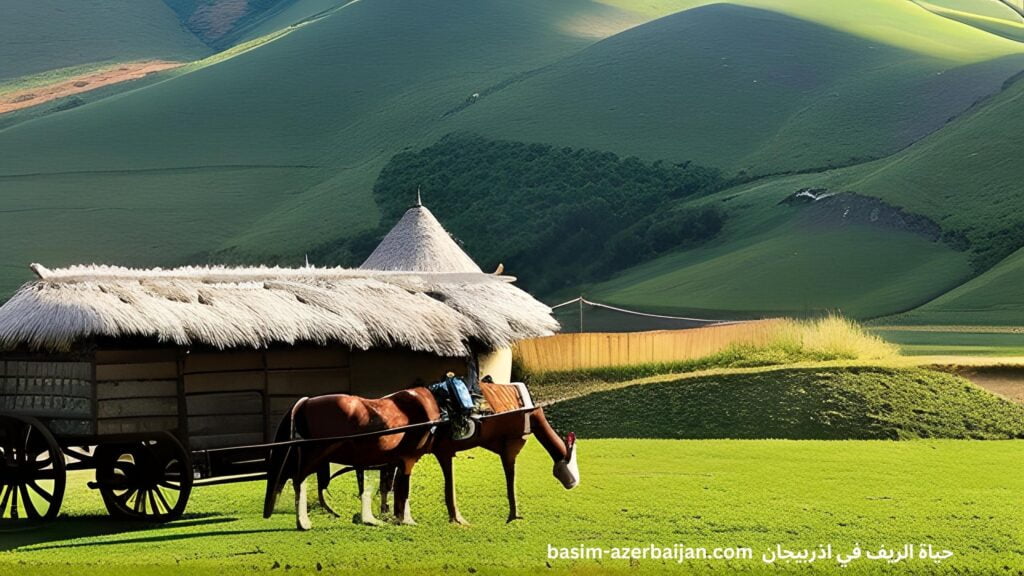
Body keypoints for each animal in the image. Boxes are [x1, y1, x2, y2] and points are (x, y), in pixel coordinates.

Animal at [262, 385, 442, 528]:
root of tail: (305, 402)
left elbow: (387, 488)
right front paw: (406, 520)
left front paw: (386, 516)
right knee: (299, 480)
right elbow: (403, 491)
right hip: (316, 454)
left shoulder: (392, 463)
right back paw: (303, 522)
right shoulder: (407, 460)